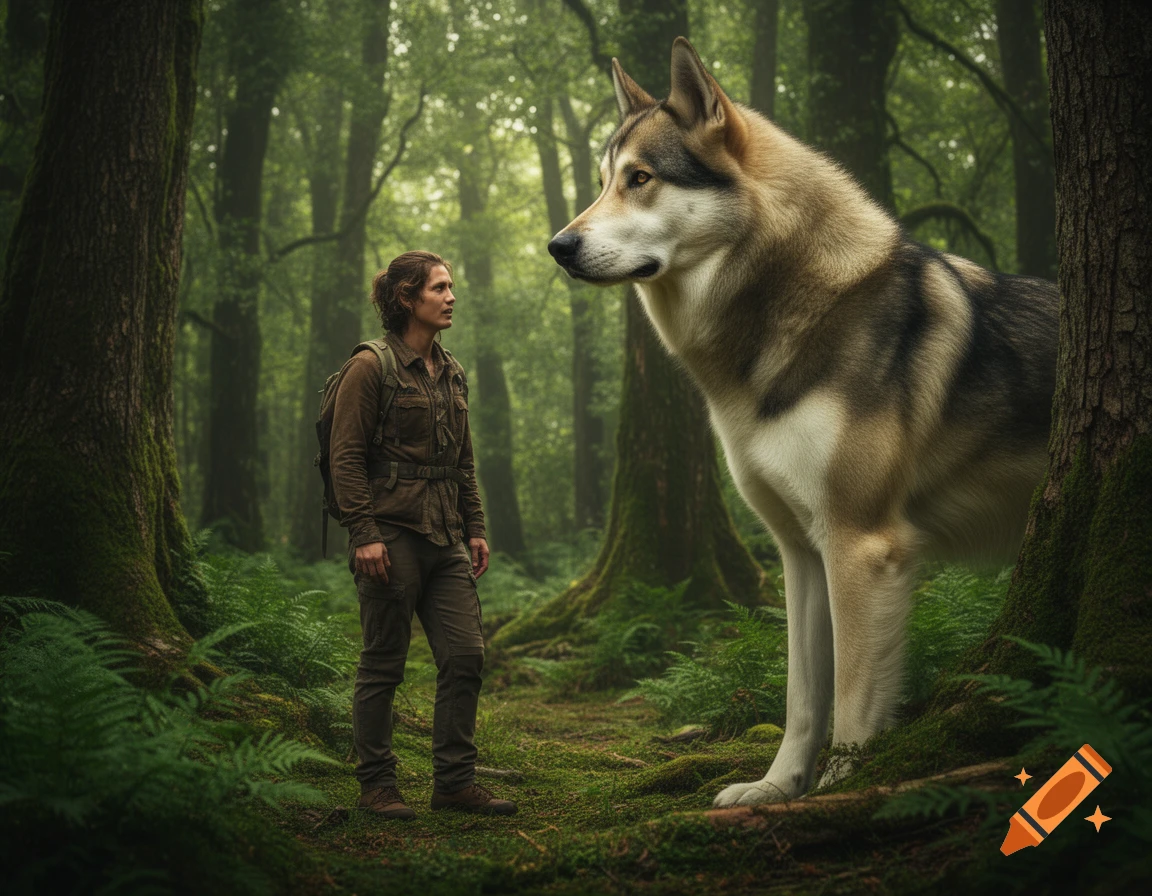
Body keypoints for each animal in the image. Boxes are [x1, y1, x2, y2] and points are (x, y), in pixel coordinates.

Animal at [547, 38, 1058, 806]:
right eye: (604, 181)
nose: (558, 246)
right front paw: (776, 787)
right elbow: (803, 697)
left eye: (640, 178)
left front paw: (845, 787)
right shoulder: (800, 552)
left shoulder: (861, 546)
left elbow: (852, 698)